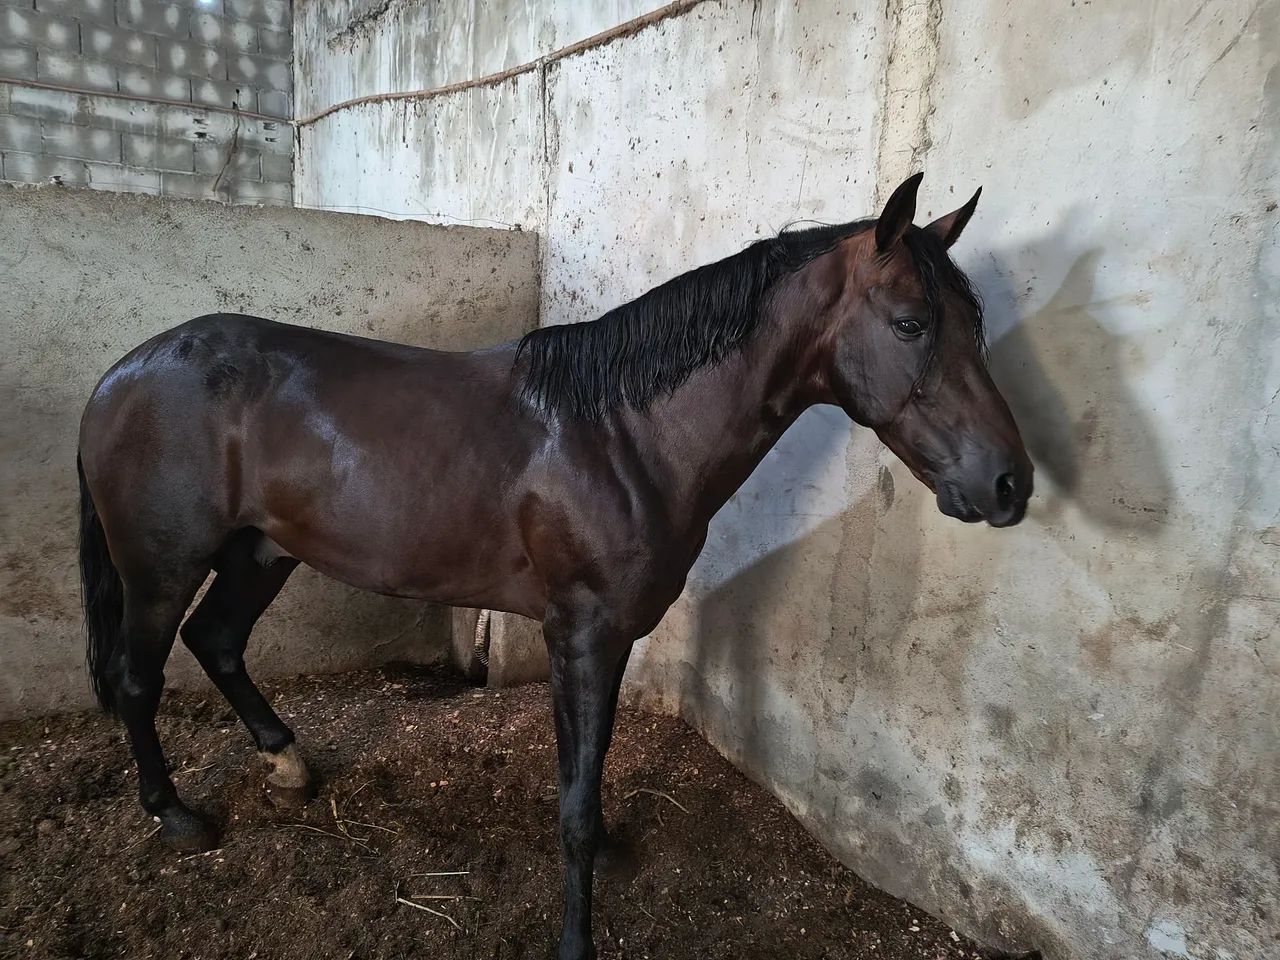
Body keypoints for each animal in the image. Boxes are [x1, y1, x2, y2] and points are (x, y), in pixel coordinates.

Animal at [77, 173, 1032, 960]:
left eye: (975, 324)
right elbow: (573, 802)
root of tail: (124, 372)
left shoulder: (604, 637)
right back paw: (175, 814)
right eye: (911, 323)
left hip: (260, 551)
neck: (621, 434)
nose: (1010, 482)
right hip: (162, 567)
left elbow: (591, 771)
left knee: (217, 641)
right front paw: (577, 935)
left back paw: (285, 763)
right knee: (137, 675)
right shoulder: (582, 633)